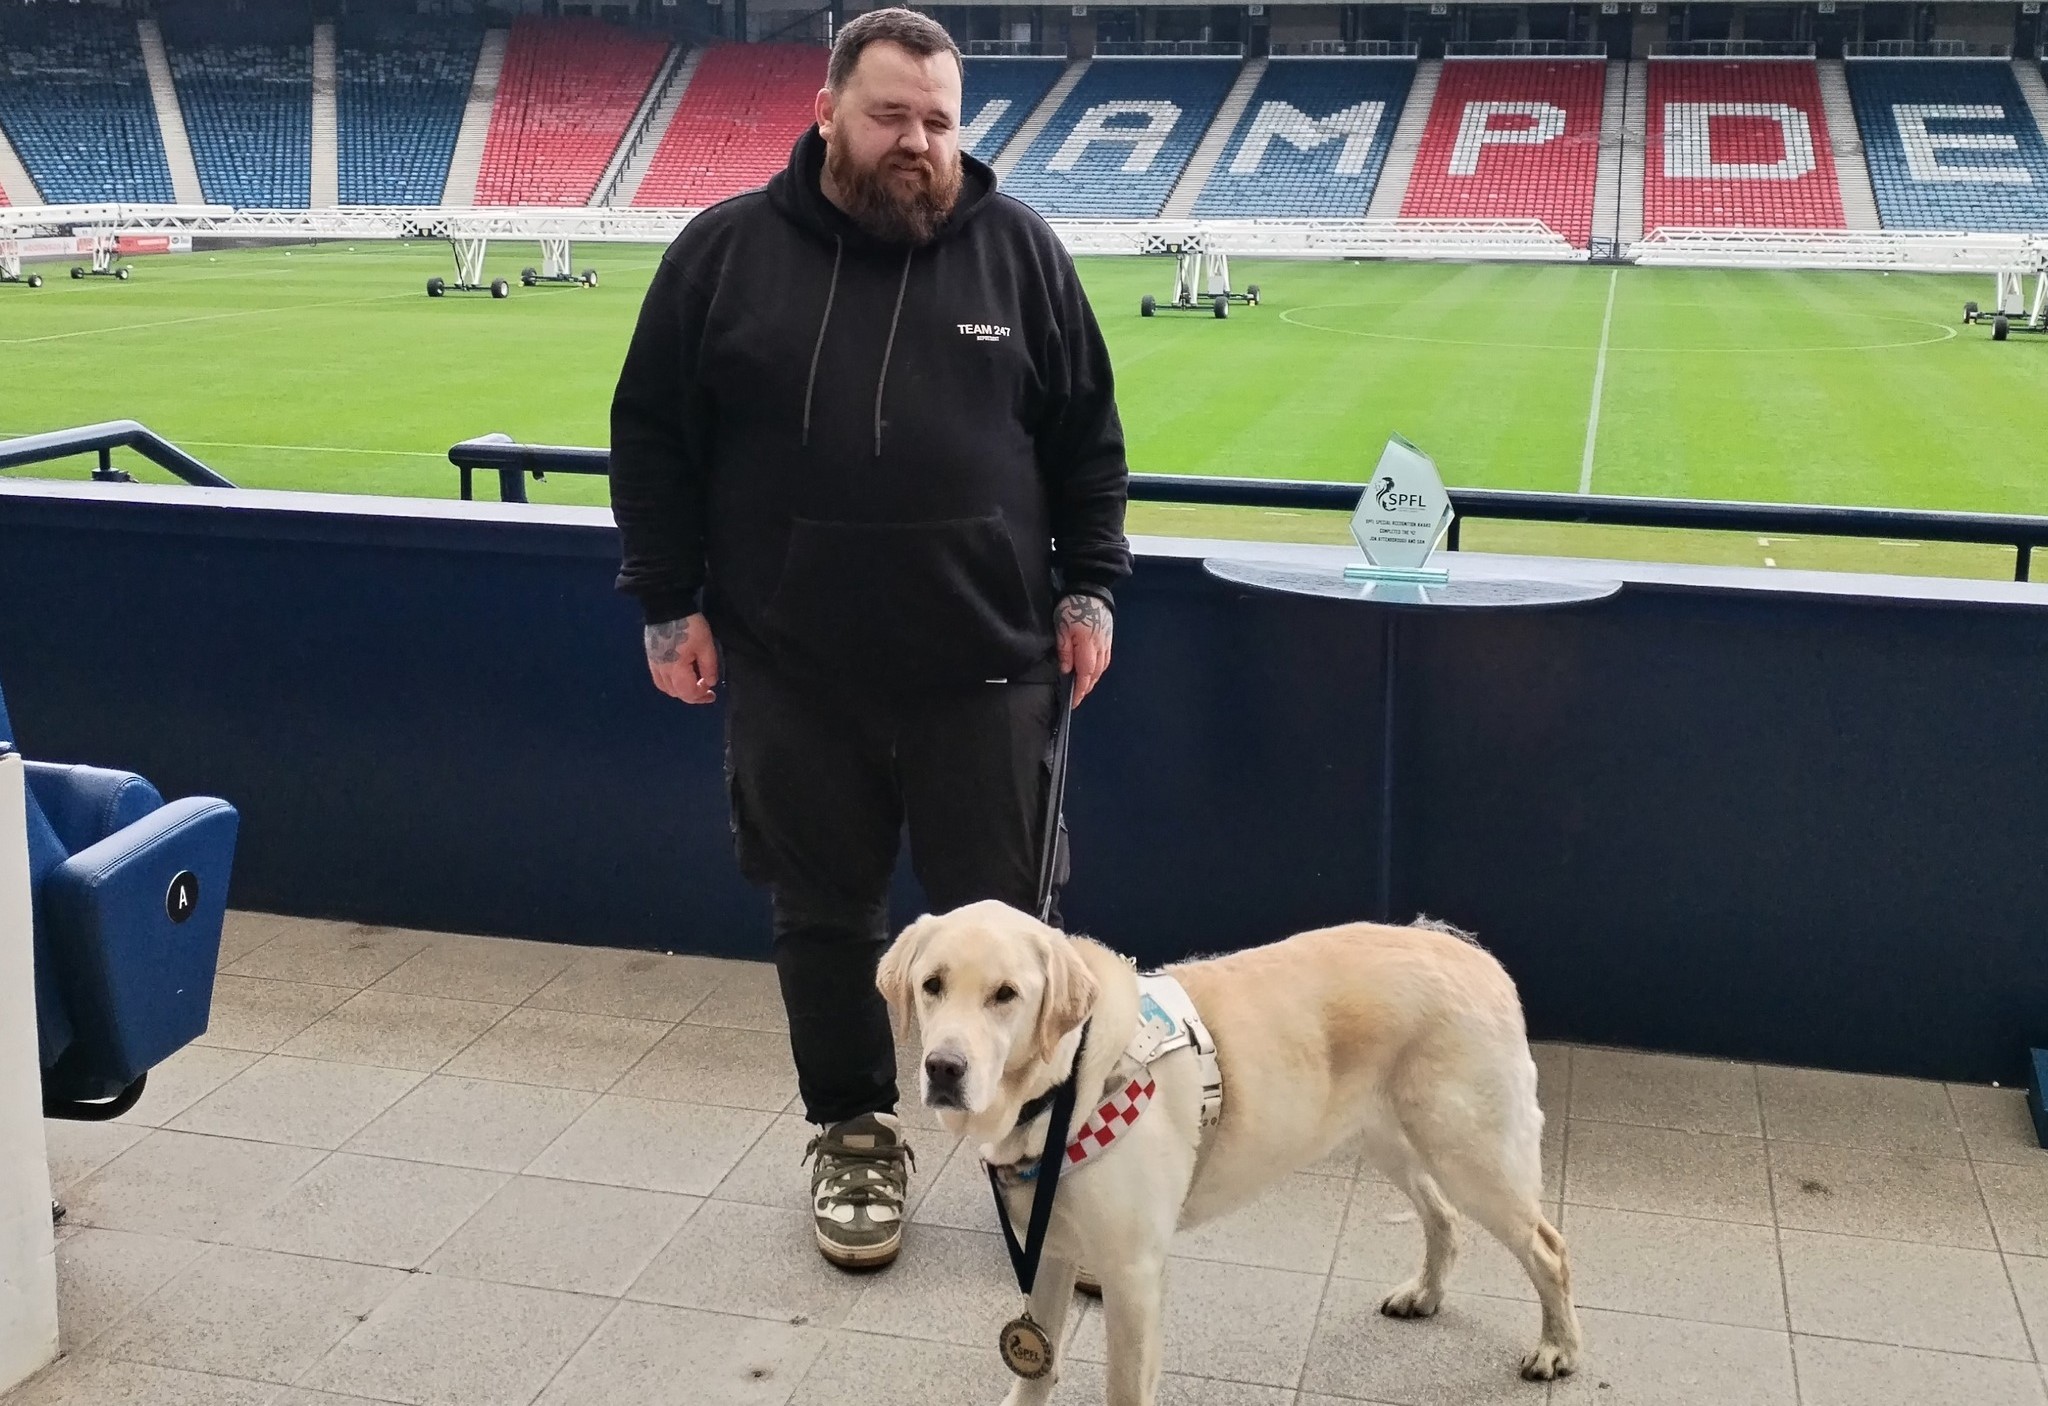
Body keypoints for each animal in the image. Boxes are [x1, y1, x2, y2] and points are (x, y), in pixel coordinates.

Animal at [880, 900, 1581, 1406]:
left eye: (1006, 995)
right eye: (931, 985)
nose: (943, 1068)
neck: (1067, 1084)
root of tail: (1472, 952)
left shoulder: (1133, 1274)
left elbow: (1123, 1387)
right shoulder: (1050, 1251)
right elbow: (1035, 1369)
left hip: (1470, 1153)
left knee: (1548, 1246)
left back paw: (1558, 1348)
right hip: (1390, 1139)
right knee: (1443, 1218)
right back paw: (1427, 1293)